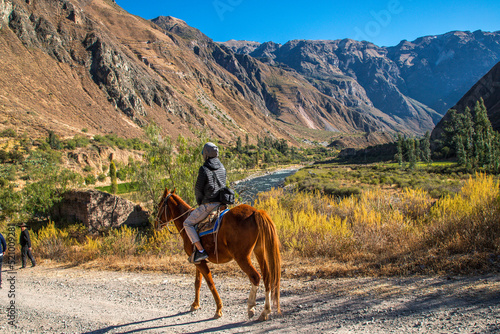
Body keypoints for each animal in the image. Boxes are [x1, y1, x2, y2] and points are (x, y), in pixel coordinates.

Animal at [155, 189, 282, 320]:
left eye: (159, 205)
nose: (156, 224)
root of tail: (256, 212)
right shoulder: (198, 260)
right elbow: (197, 282)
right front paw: (195, 305)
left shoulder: (200, 263)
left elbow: (210, 283)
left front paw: (218, 309)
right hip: (259, 251)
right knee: (267, 277)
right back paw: (265, 311)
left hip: (242, 257)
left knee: (255, 277)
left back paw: (251, 307)